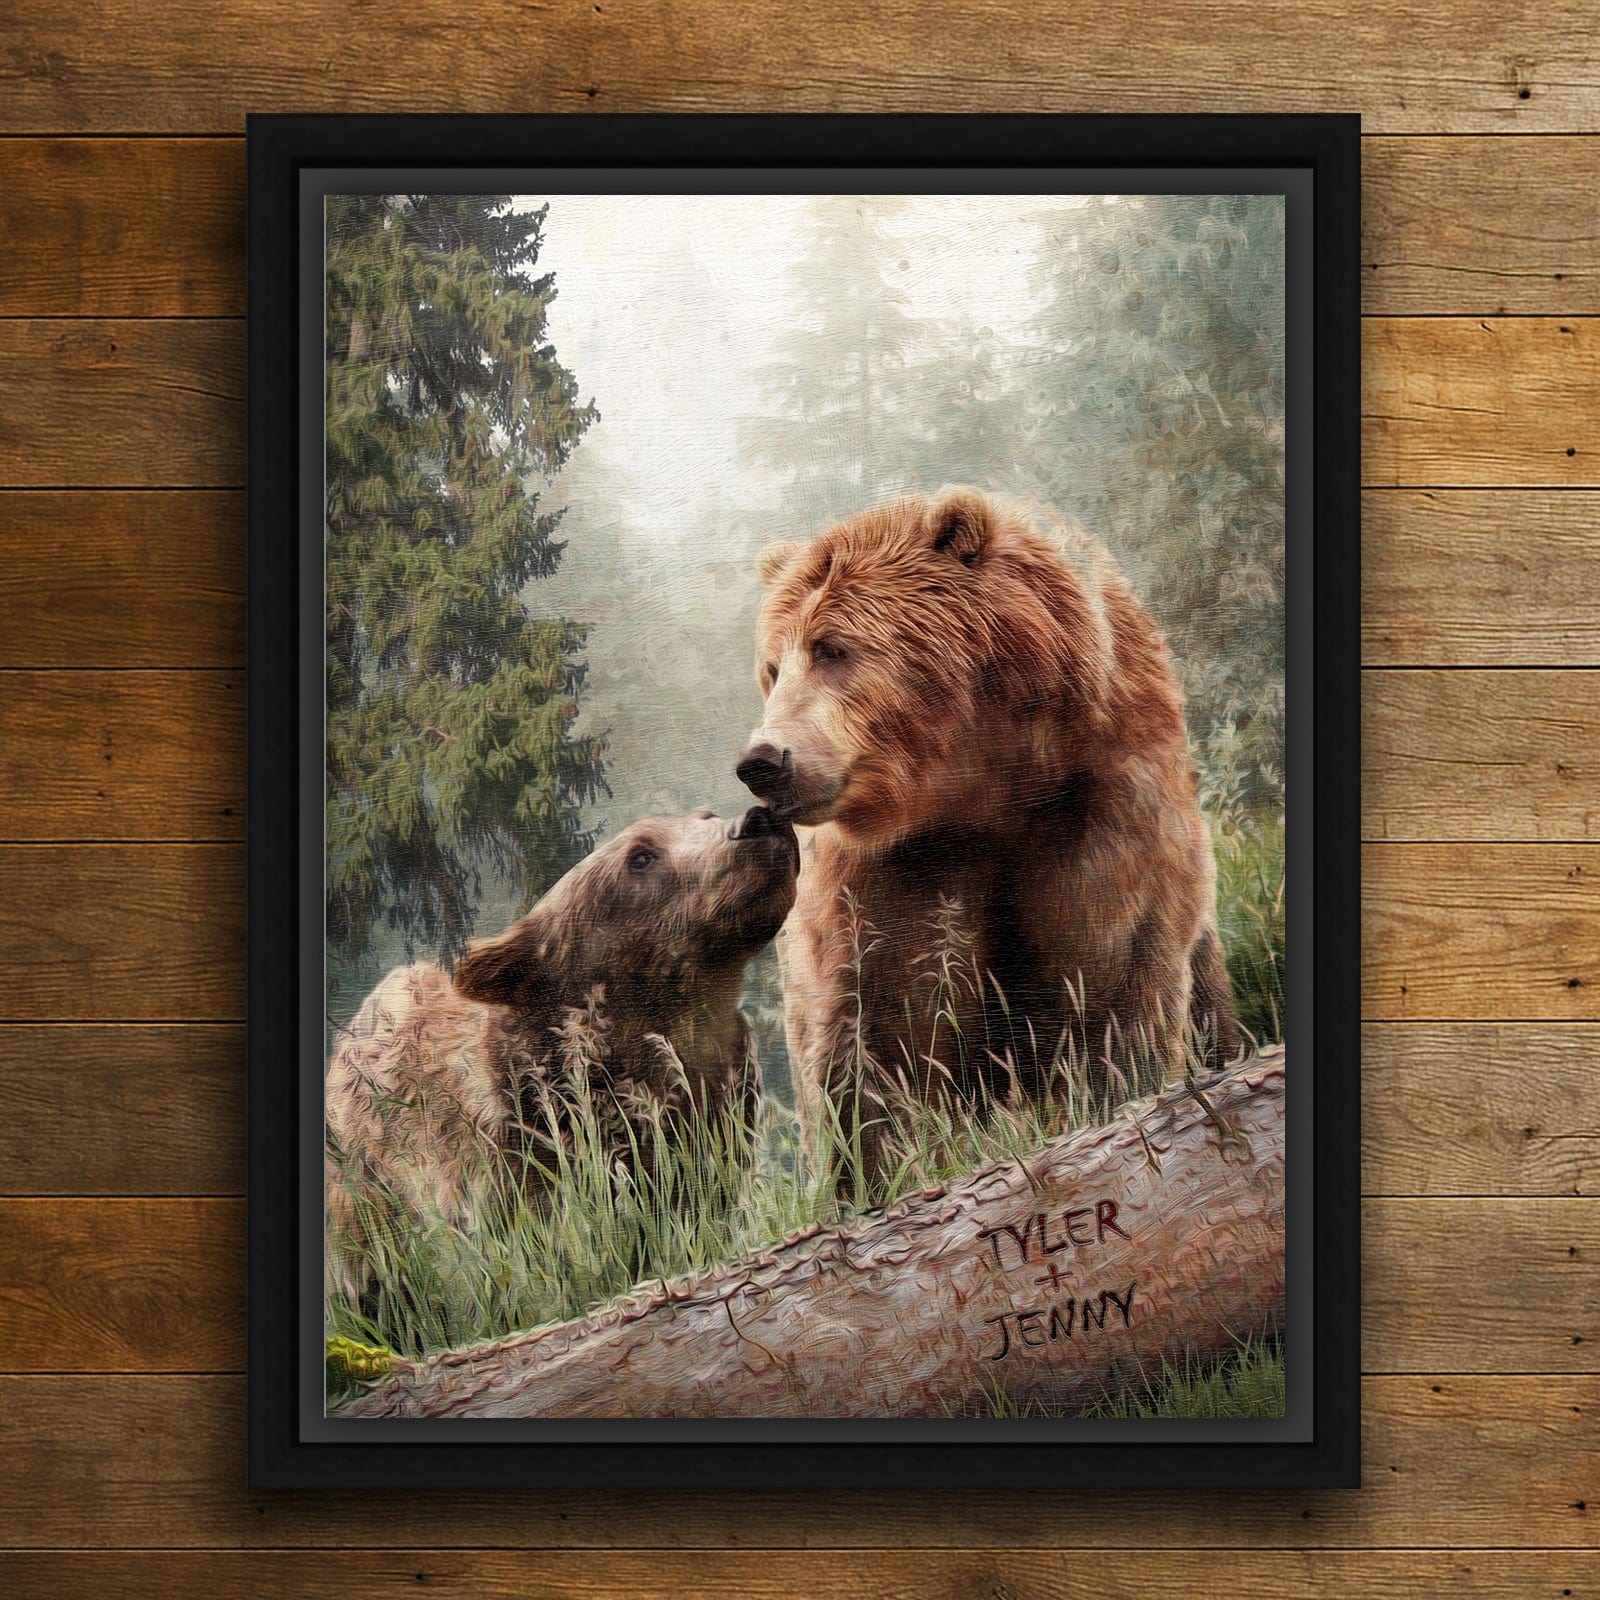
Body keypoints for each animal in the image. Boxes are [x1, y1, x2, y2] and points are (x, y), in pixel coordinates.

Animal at [324, 804, 799, 1300]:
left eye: (705, 816)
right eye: (640, 856)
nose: (757, 819)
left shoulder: (714, 1119)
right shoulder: (516, 1149)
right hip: (367, 1174)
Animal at [736, 487, 1240, 1182]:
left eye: (832, 648)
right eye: (771, 667)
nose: (763, 760)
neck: (981, 783)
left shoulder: (1100, 805)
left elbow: (1110, 977)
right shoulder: (891, 871)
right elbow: (880, 1028)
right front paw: (879, 1168)